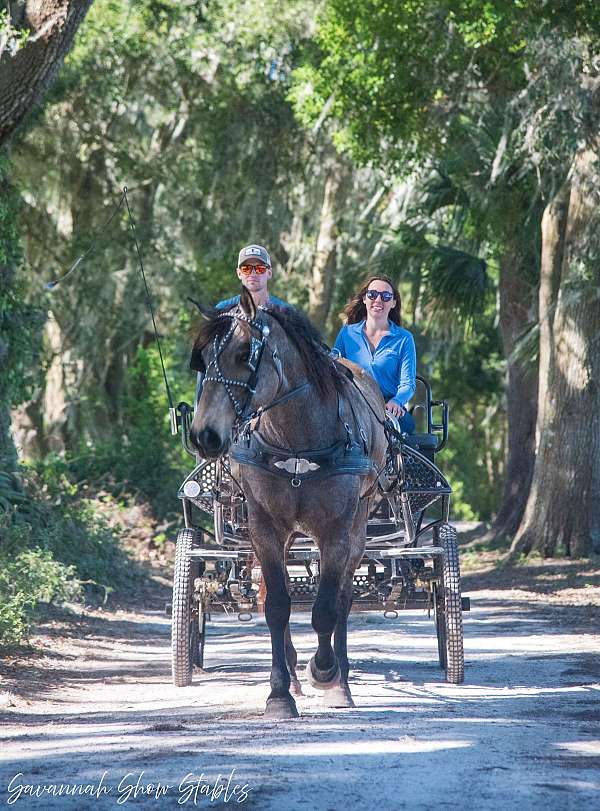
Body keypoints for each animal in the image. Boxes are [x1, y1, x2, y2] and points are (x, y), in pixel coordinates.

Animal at [192, 288, 390, 720]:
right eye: (202, 358)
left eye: (244, 353)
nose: (203, 436)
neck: (297, 439)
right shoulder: (265, 528)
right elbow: (277, 606)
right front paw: (280, 694)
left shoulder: (336, 531)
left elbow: (326, 608)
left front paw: (325, 670)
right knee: (272, 594)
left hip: (359, 526)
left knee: (344, 598)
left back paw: (341, 682)